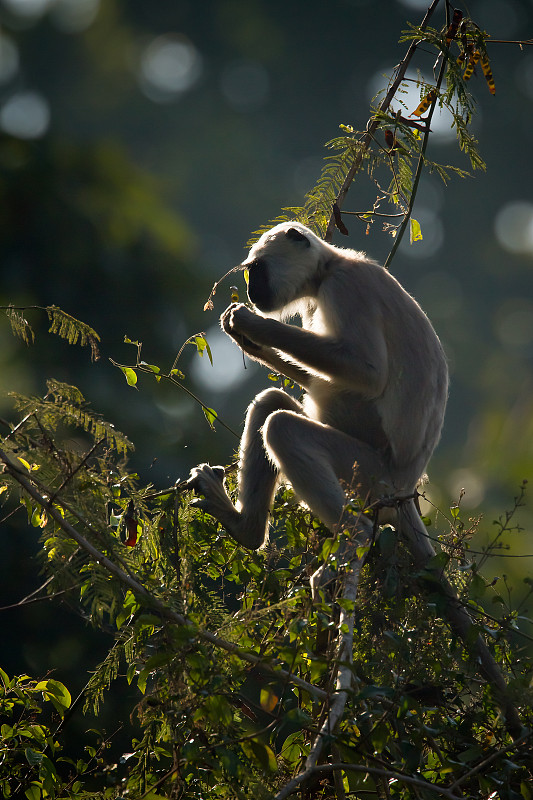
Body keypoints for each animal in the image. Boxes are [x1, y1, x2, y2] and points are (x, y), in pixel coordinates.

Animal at [185, 222, 446, 552]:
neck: (330, 266)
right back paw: (246, 530)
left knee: (282, 427)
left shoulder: (344, 286)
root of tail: (406, 490)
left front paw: (251, 325)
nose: (251, 291)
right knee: (270, 402)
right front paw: (248, 341)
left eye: (257, 270)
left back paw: (356, 538)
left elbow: (369, 374)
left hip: (371, 475)